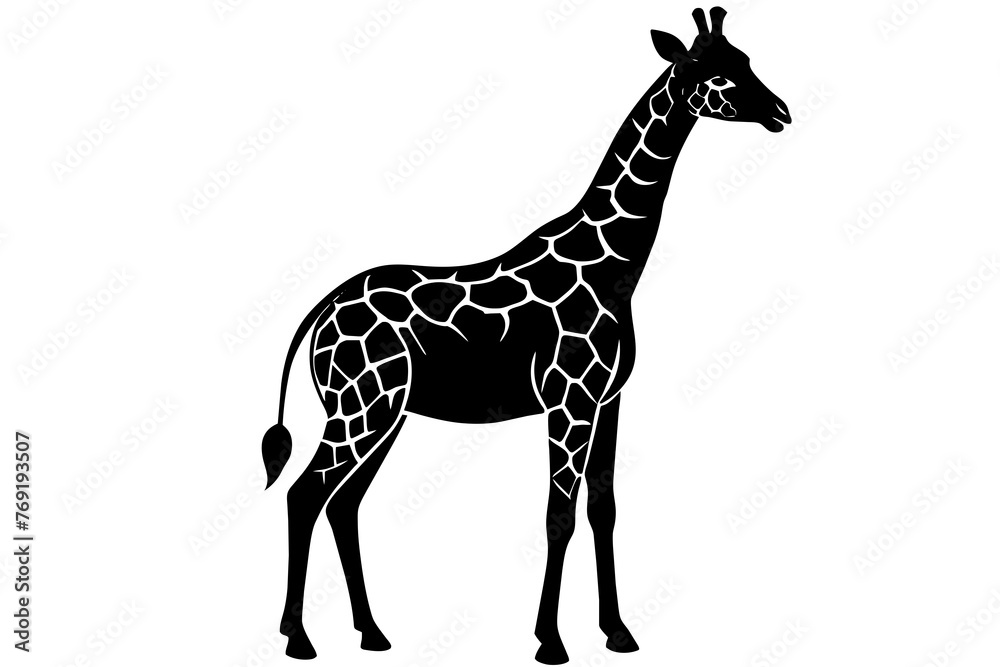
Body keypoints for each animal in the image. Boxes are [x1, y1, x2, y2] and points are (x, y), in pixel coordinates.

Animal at [261, 8, 790, 664]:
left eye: (745, 58)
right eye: (705, 68)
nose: (780, 111)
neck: (616, 267)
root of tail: (321, 310)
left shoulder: (609, 400)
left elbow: (603, 509)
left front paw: (618, 632)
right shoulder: (569, 399)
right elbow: (558, 514)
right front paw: (550, 642)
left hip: (383, 411)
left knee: (343, 504)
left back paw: (372, 632)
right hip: (362, 406)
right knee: (305, 495)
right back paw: (299, 638)